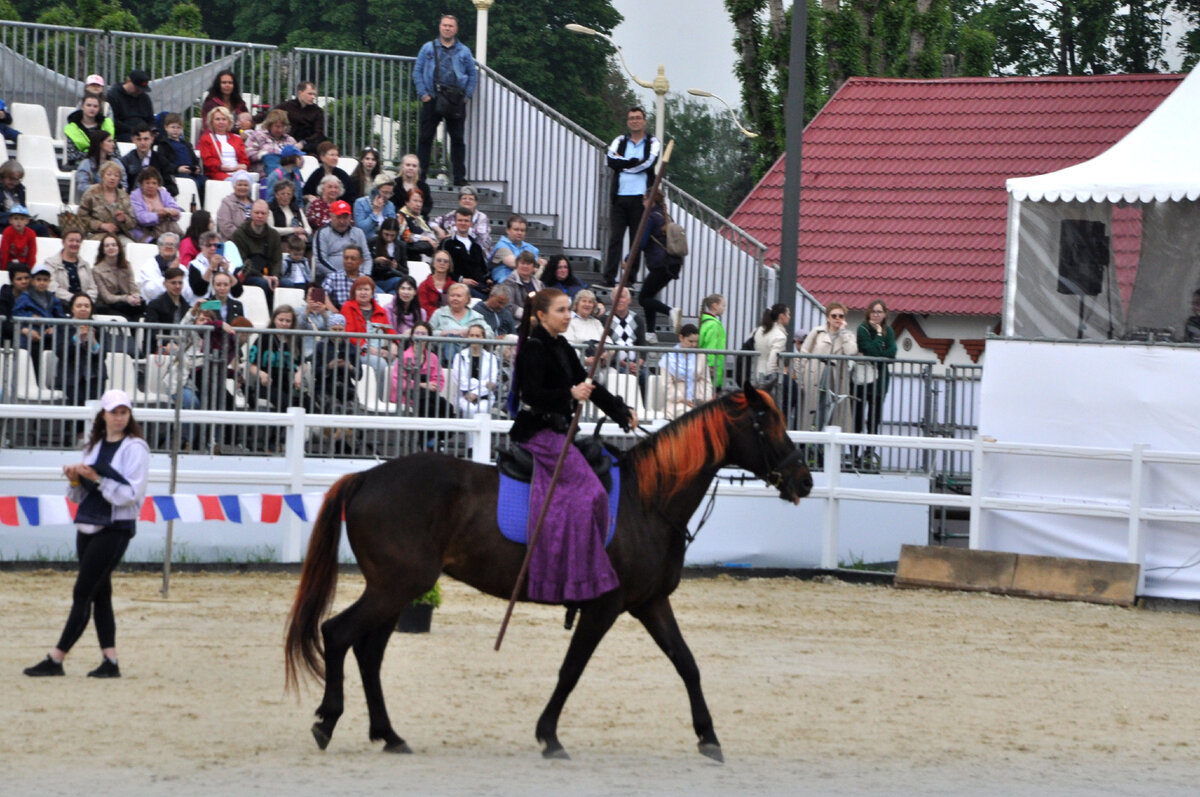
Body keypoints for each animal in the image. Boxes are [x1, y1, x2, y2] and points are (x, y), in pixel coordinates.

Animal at [288, 384, 816, 758]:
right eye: (765, 422)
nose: (805, 479)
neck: (647, 501)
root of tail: (367, 476)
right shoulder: (604, 607)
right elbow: (572, 669)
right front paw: (549, 736)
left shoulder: (649, 603)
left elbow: (687, 663)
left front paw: (708, 736)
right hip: (396, 587)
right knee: (338, 635)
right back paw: (326, 722)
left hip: (397, 590)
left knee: (368, 651)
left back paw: (388, 734)